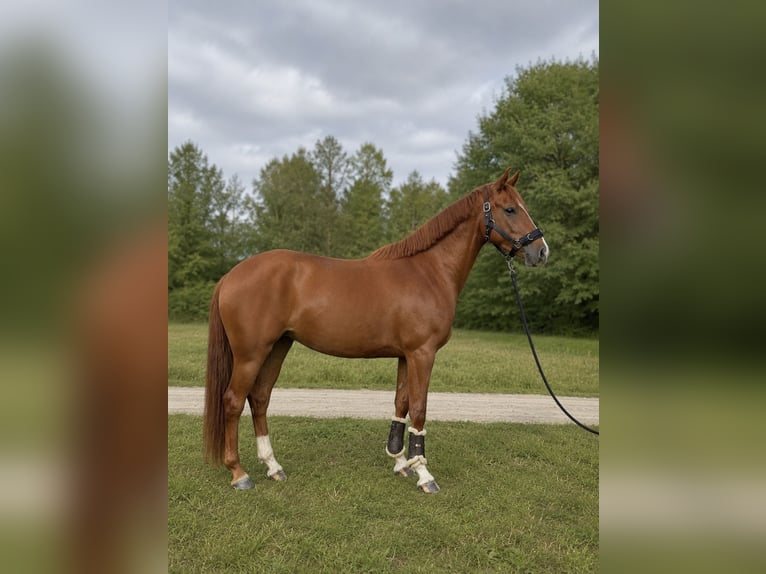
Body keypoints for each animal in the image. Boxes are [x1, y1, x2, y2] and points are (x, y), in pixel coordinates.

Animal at [203, 168, 549, 493]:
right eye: (510, 209)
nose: (542, 251)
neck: (429, 271)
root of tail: (231, 275)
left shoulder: (406, 356)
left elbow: (401, 403)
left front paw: (400, 462)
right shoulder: (422, 353)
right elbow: (419, 408)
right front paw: (425, 474)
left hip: (278, 346)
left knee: (260, 398)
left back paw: (273, 466)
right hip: (251, 353)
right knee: (233, 400)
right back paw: (239, 473)